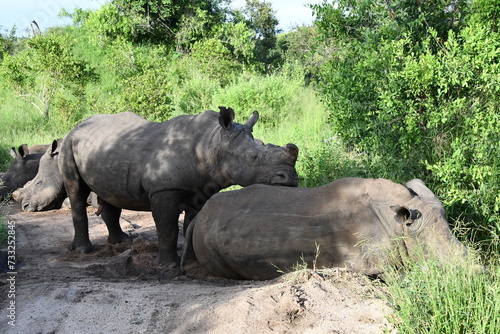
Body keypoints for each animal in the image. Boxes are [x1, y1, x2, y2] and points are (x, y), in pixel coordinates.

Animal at [60, 108, 298, 268]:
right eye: (254, 157)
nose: (291, 179)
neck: (212, 143)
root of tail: (78, 126)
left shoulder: (201, 188)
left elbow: (192, 222)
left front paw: (192, 260)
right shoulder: (164, 189)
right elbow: (168, 227)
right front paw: (168, 266)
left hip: (103, 149)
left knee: (111, 193)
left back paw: (122, 243)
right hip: (67, 143)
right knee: (76, 192)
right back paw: (83, 250)